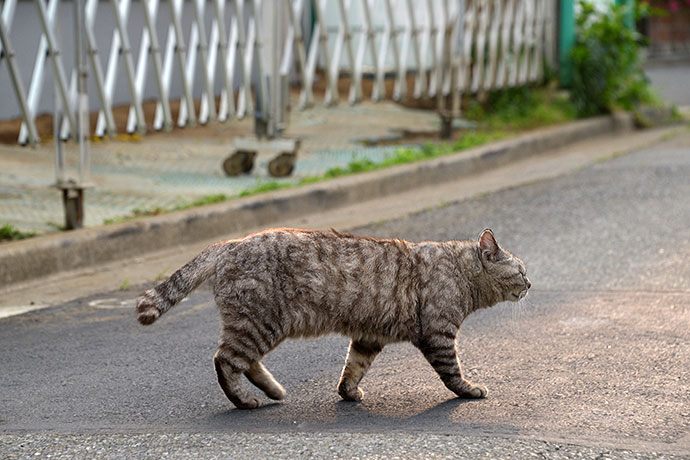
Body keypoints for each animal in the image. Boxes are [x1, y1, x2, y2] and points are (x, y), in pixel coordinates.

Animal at [137, 227, 528, 410]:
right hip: (259, 323)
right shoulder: (439, 334)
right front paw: (469, 390)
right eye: (521, 271)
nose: (530, 284)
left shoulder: (369, 336)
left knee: (244, 361)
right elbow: (453, 373)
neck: (460, 271)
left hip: (258, 326)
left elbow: (352, 367)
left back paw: (273, 390)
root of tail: (230, 243)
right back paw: (245, 400)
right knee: (226, 361)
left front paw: (348, 392)